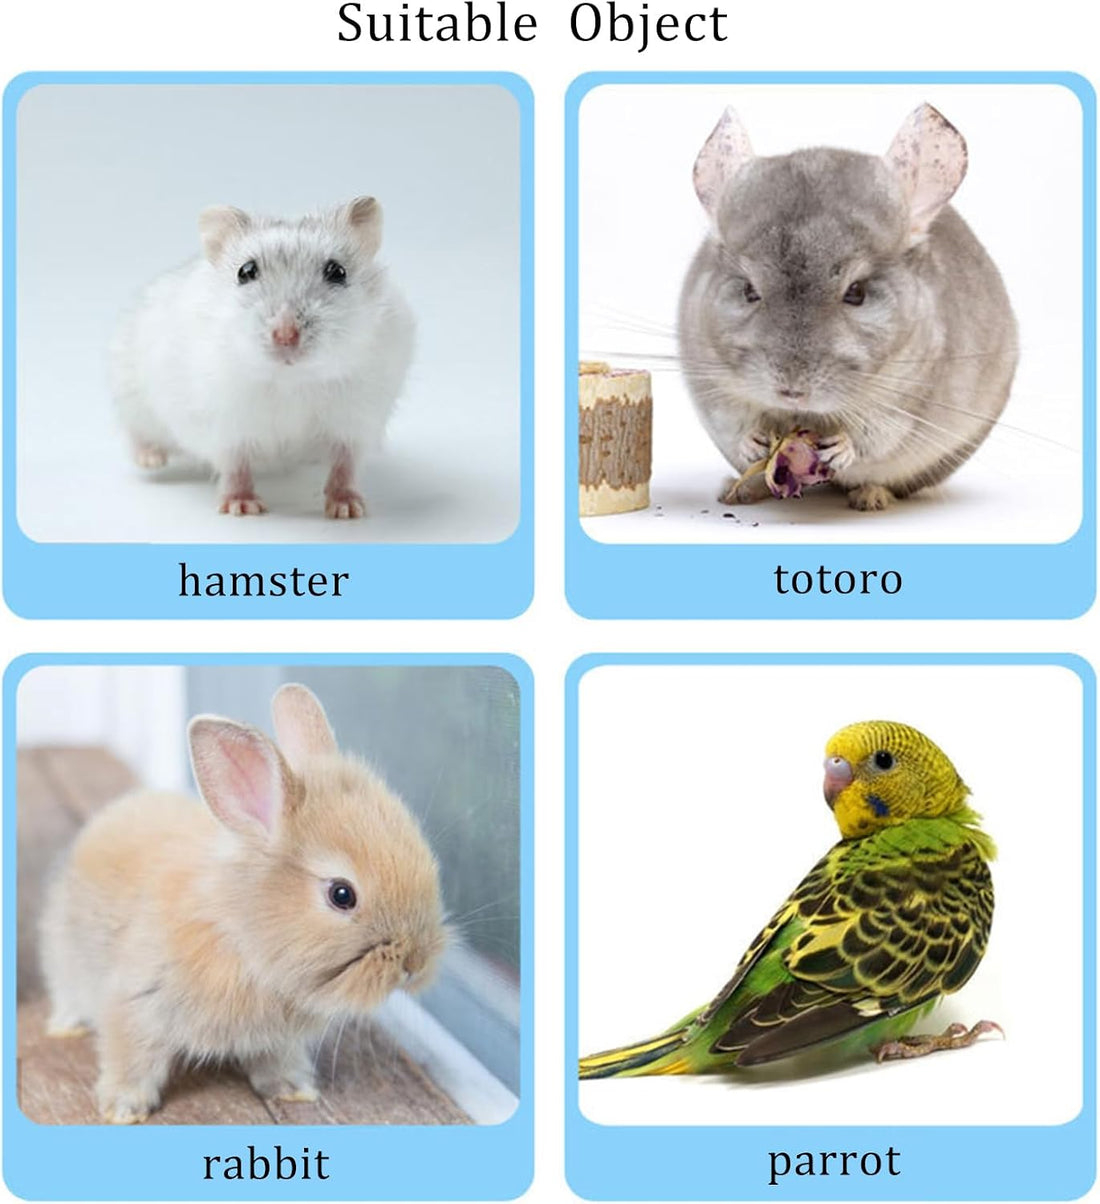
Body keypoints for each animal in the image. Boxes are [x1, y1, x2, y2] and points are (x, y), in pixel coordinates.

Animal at [39, 683, 446, 1124]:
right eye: (342, 895)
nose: (415, 964)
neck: (241, 936)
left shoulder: (276, 1041)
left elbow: (276, 1063)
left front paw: (294, 1091)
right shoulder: (135, 1005)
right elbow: (130, 1059)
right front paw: (123, 1109)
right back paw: (66, 1027)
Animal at [111, 197, 414, 518]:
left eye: (337, 272)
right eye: (245, 272)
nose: (286, 335)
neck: (292, 379)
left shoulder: (357, 422)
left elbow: (346, 466)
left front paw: (347, 509)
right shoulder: (226, 425)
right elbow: (235, 465)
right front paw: (242, 507)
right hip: (132, 395)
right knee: (137, 433)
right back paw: (151, 460)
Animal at [678, 104, 1018, 510]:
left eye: (856, 292)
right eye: (748, 291)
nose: (792, 391)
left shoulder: (906, 399)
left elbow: (873, 434)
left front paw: (841, 448)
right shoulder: (711, 382)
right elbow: (733, 418)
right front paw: (752, 442)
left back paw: (870, 497)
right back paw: (742, 489)